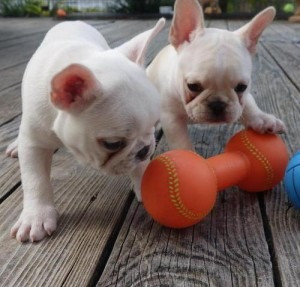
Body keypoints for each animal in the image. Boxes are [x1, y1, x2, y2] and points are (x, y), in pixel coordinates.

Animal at [6, 18, 166, 243]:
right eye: (113, 144)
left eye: (155, 124)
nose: (145, 149)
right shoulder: (33, 142)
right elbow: (35, 179)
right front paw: (36, 217)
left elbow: (140, 167)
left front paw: (147, 183)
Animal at [148, 0, 286, 152]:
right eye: (192, 86)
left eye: (242, 87)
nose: (218, 104)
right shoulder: (172, 119)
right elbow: (182, 142)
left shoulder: (244, 97)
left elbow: (249, 105)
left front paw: (263, 119)